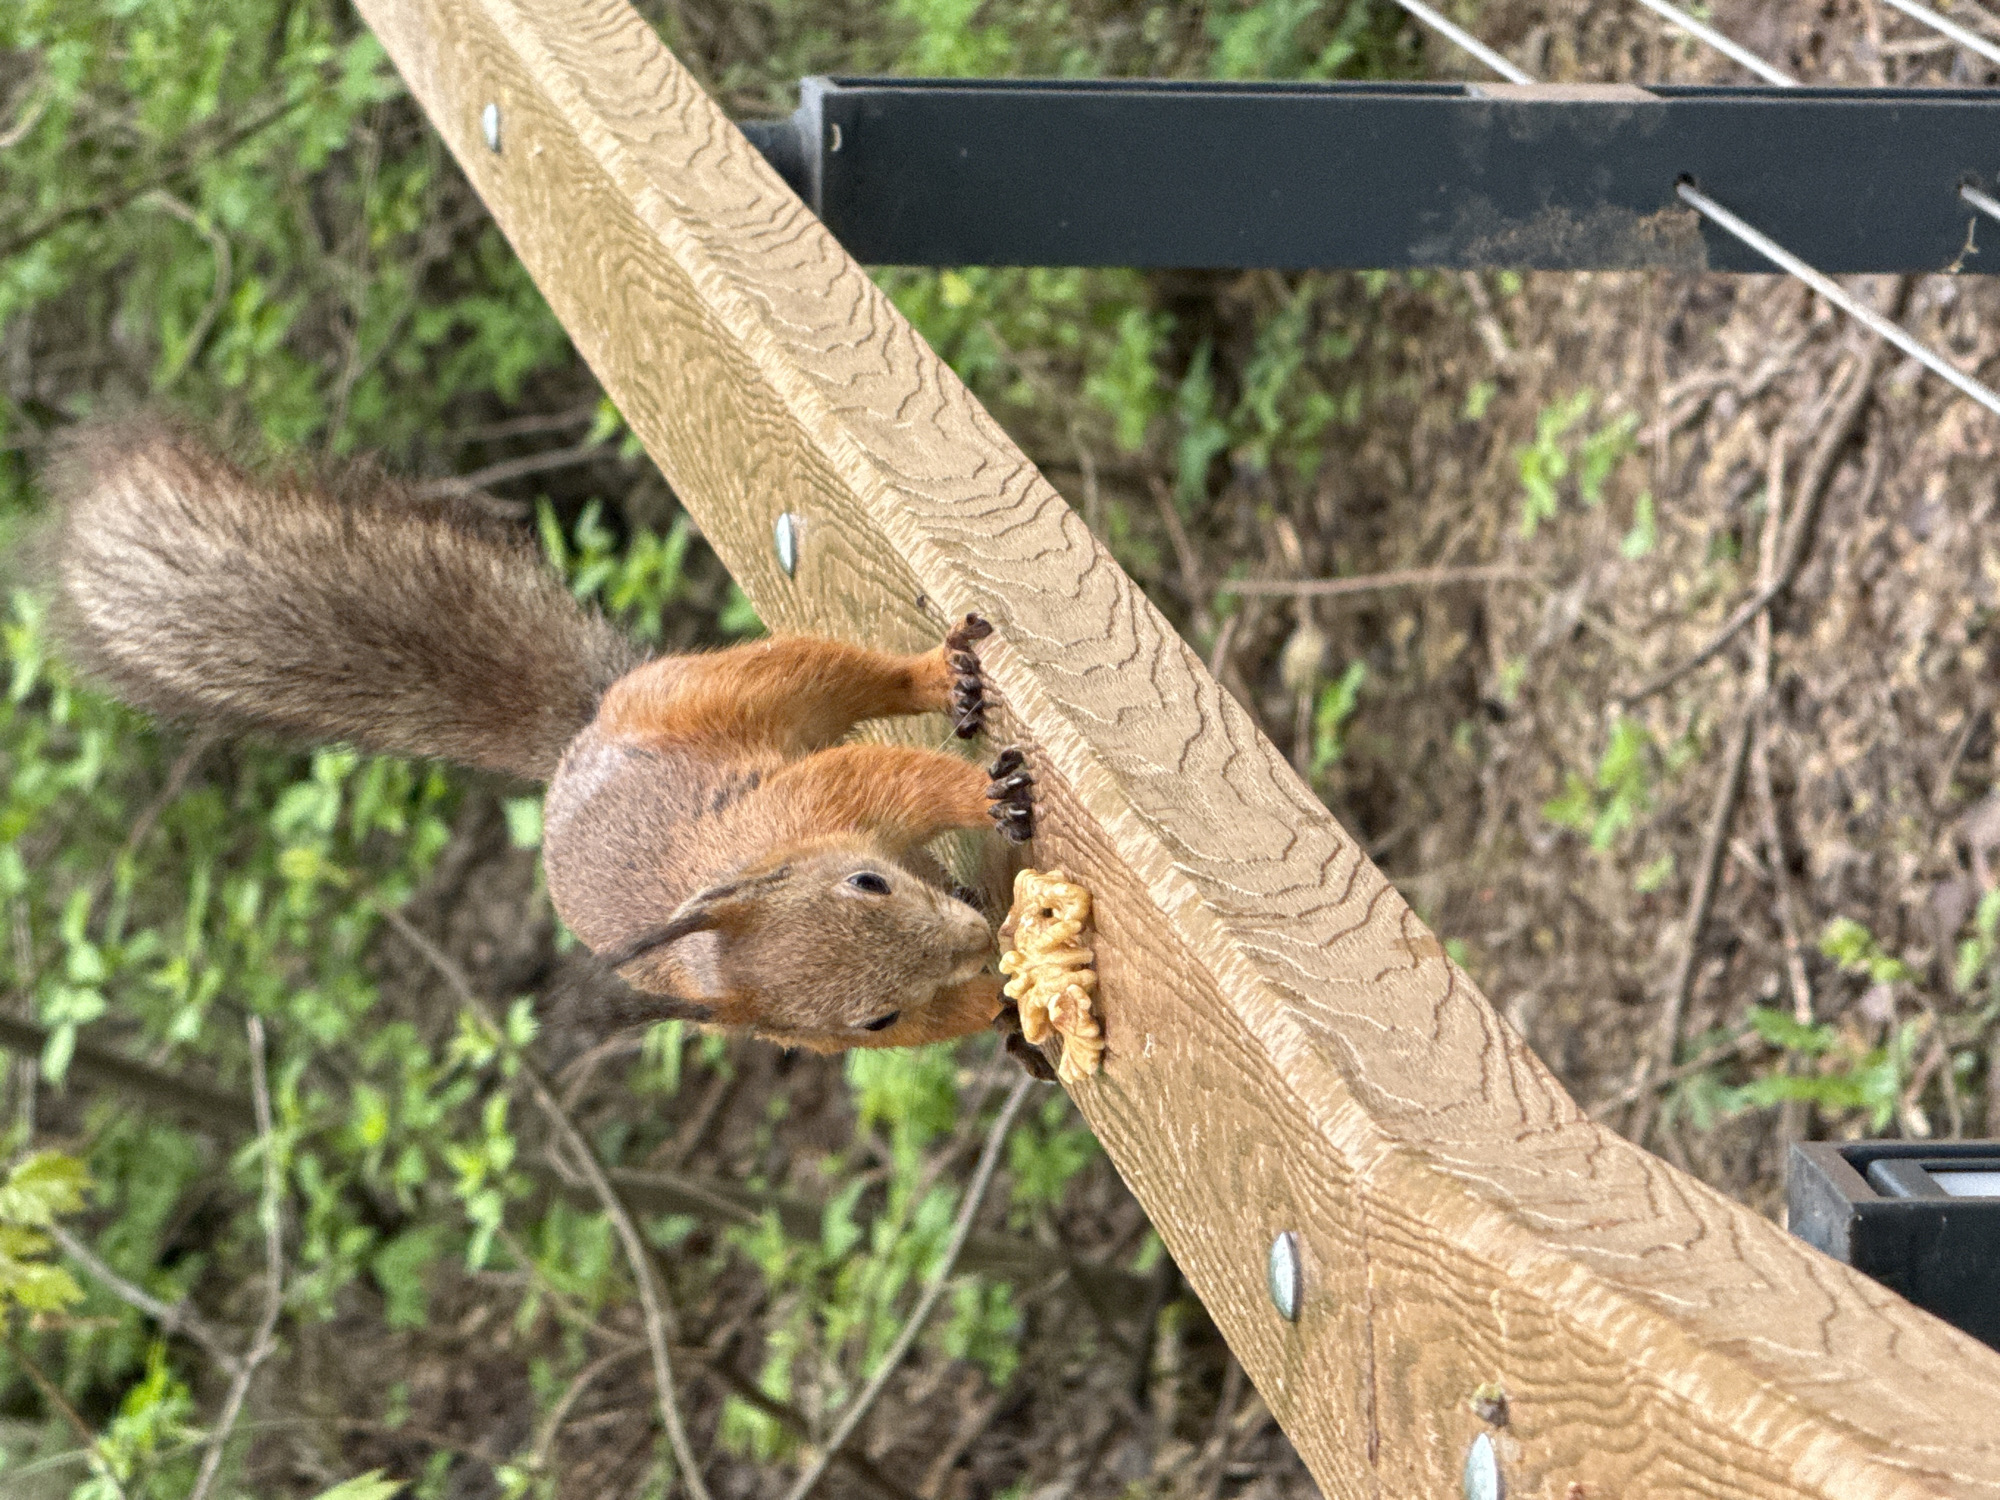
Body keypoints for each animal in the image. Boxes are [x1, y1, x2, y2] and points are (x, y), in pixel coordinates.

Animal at [49, 421, 1049, 1065]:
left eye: (868, 884)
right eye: (873, 1021)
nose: (972, 940)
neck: (776, 855)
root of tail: (581, 737)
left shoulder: (818, 797)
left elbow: (902, 778)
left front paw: (981, 802)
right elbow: (946, 1007)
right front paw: (1000, 992)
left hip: (740, 687)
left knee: (852, 678)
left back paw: (941, 677)